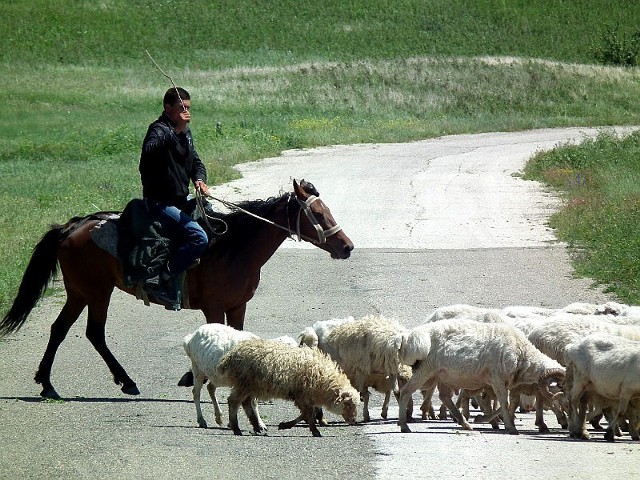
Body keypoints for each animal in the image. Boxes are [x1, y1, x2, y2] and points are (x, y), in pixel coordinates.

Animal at [0, 178, 352, 400]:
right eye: (317, 213)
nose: (347, 246)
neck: (233, 247)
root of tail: (72, 226)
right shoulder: (214, 307)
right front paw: (197, 377)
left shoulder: (237, 306)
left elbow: (236, 337)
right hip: (97, 292)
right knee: (93, 333)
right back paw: (124, 381)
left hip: (79, 292)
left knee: (60, 329)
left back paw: (47, 384)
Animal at [216, 340, 360, 436]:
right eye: (348, 404)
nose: (354, 421)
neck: (324, 381)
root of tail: (231, 355)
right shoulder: (301, 395)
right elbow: (307, 414)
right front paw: (313, 430)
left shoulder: (303, 396)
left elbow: (306, 414)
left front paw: (287, 425)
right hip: (244, 383)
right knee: (233, 401)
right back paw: (236, 428)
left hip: (250, 386)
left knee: (246, 404)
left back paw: (256, 427)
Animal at [398, 318, 564, 436]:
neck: (523, 354)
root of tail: (409, 339)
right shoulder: (497, 380)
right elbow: (504, 403)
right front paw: (510, 427)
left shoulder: (504, 383)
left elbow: (509, 404)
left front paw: (488, 420)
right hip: (426, 369)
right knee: (406, 392)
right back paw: (404, 425)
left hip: (442, 375)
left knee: (444, 397)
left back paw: (465, 423)